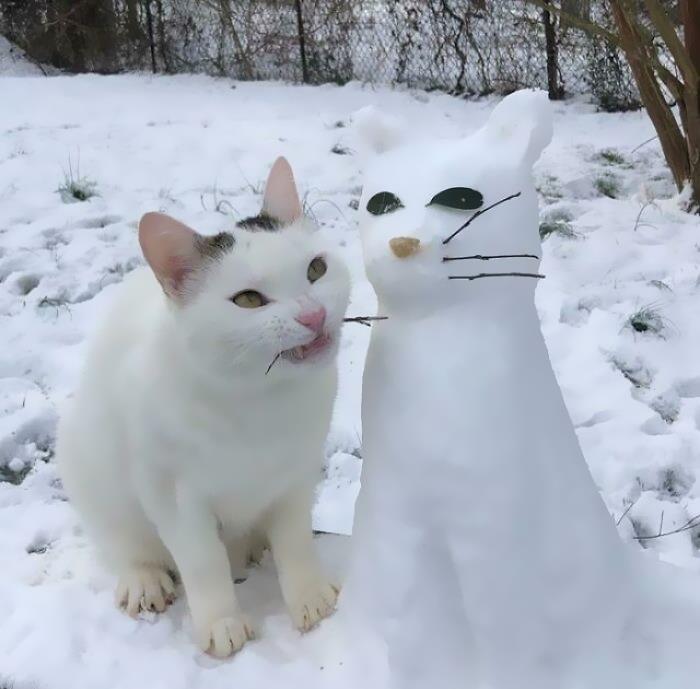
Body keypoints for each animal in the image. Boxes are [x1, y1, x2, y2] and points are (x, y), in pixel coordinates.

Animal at [56, 156, 350, 656]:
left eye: (316, 269)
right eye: (248, 299)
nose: (313, 315)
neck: (261, 402)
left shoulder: (297, 475)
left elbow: (295, 539)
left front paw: (309, 594)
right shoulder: (173, 495)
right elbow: (202, 560)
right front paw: (221, 622)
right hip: (82, 454)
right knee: (122, 542)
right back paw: (144, 579)